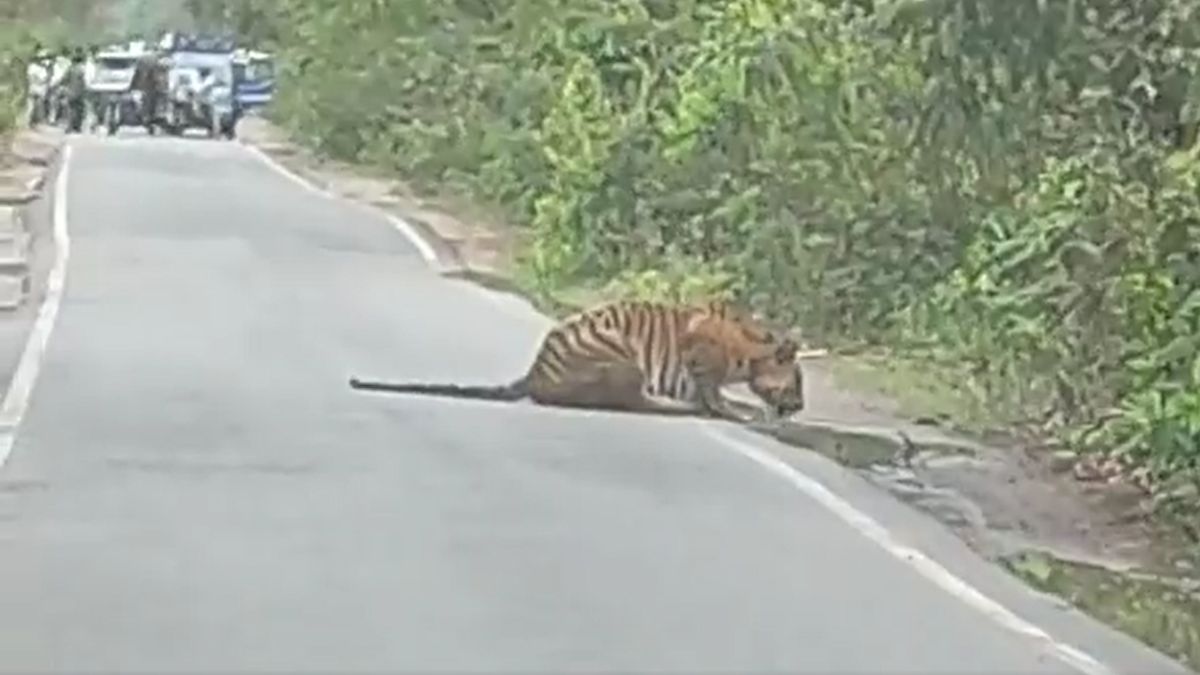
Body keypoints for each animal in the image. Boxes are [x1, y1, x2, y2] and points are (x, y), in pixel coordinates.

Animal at [350, 297, 811, 420]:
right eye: (798, 382)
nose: (802, 405)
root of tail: (535, 371)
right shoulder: (701, 361)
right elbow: (717, 397)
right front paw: (744, 413)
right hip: (620, 352)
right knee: (627, 401)